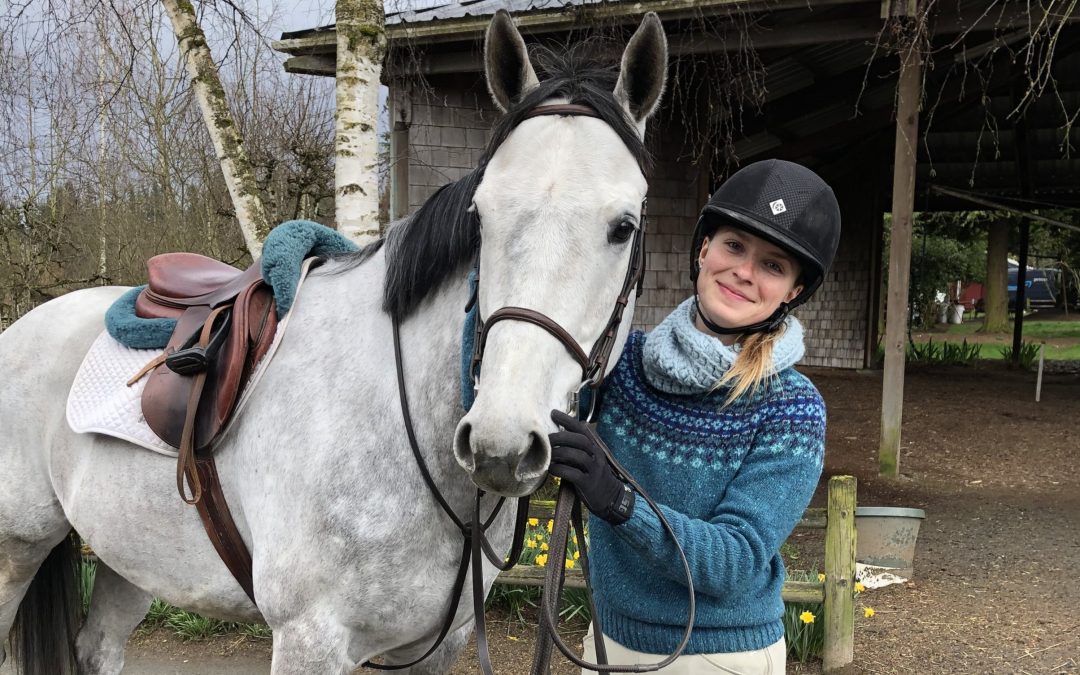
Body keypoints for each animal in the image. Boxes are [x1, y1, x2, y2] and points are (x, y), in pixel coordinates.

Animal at [0, 11, 665, 673]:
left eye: (624, 227)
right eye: (480, 217)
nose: (500, 444)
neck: (398, 423)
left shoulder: (437, 647)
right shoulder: (309, 639)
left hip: (131, 558)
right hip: (17, 551)